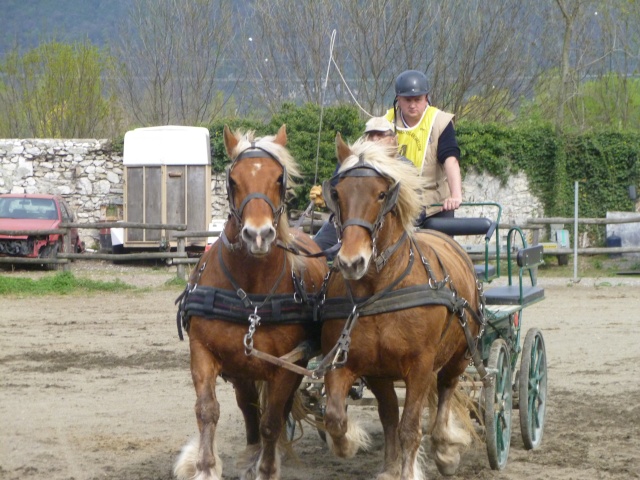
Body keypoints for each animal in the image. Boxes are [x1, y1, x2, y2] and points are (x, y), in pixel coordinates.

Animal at [172, 124, 328, 480]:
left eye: (279, 178)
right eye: (232, 180)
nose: (258, 235)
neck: (253, 293)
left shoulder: (287, 364)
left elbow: (272, 421)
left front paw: (267, 469)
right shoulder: (204, 352)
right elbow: (208, 411)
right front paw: (205, 467)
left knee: (273, 413)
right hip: (242, 368)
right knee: (248, 408)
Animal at [322, 135, 482, 480]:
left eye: (381, 194)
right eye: (337, 194)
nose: (351, 262)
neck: (379, 292)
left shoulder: (420, 366)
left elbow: (409, 427)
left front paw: (408, 470)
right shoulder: (361, 366)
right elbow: (345, 418)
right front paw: (363, 451)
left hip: (460, 354)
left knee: (446, 390)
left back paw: (445, 450)